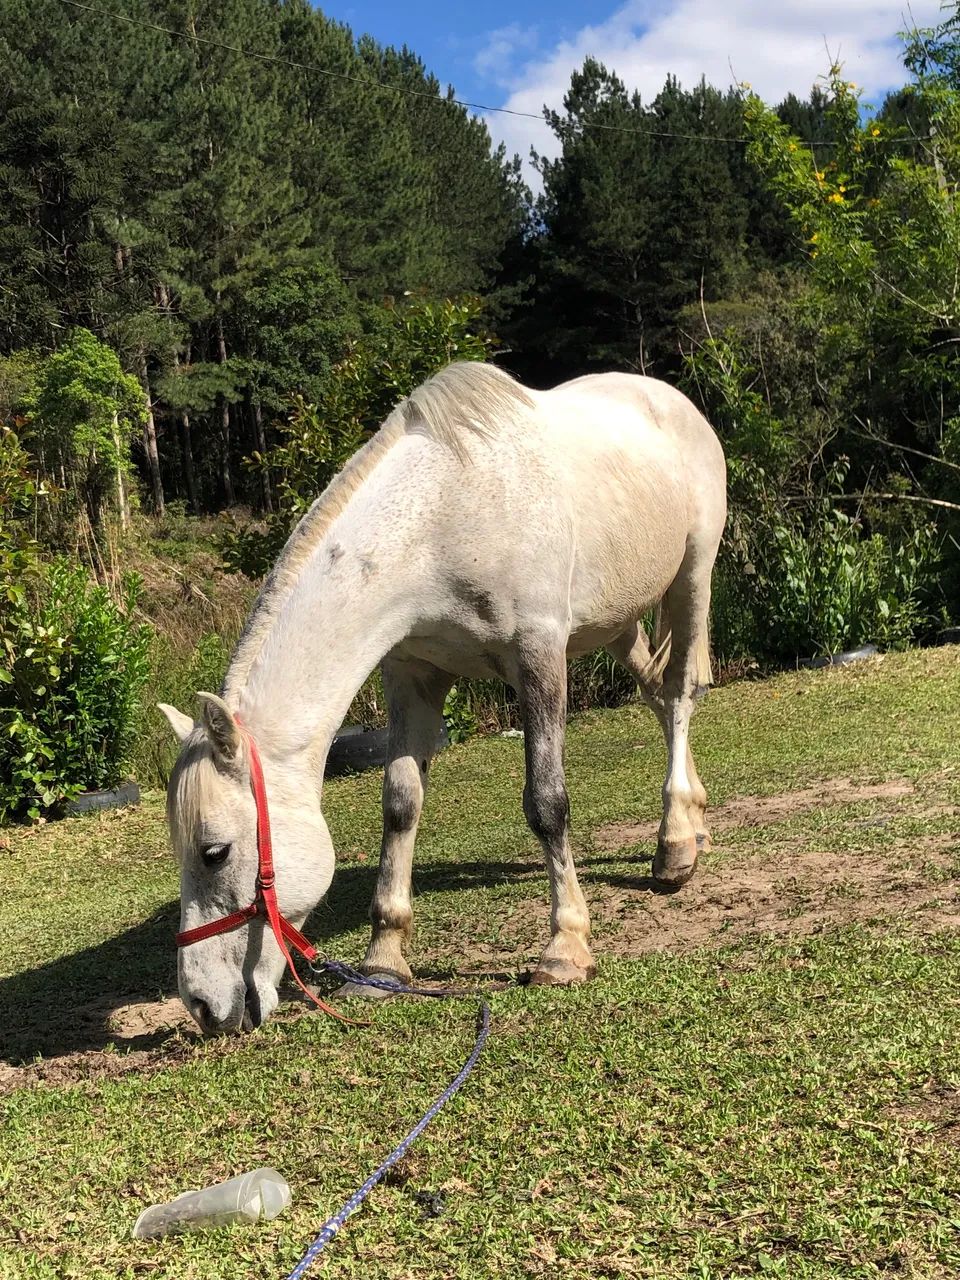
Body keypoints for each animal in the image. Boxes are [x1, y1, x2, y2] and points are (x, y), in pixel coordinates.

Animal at [159, 362, 726, 1034]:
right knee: (659, 700)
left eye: (215, 852)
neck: (441, 520)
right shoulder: (413, 675)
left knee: (681, 696)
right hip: (618, 622)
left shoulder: (539, 655)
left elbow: (547, 803)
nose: (202, 1006)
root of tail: (672, 400)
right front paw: (383, 961)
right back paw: (693, 824)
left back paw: (674, 845)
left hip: (691, 580)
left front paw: (564, 947)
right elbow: (400, 804)